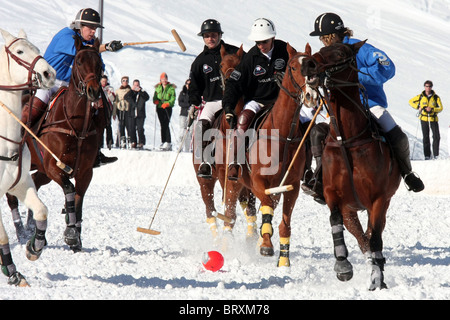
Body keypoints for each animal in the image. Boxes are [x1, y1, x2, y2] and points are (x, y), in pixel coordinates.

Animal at [7, 36, 106, 251]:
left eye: (99, 63)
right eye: (79, 62)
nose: (94, 91)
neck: (77, 126)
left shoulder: (86, 171)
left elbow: (78, 198)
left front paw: (75, 237)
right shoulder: (54, 166)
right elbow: (70, 189)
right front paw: (71, 234)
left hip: (41, 170)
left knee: (35, 183)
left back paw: (31, 226)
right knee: (11, 196)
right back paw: (21, 231)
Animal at [192, 44, 256, 240]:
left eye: (240, 63)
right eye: (221, 65)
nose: (229, 81)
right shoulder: (222, 173)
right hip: (204, 178)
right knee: (210, 209)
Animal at [234, 43, 318, 268]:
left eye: (314, 65)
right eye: (293, 68)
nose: (311, 96)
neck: (283, 135)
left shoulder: (291, 186)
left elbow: (284, 224)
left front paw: (284, 261)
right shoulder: (258, 181)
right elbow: (267, 209)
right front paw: (265, 245)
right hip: (236, 181)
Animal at [302, 42, 400, 290]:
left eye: (340, 53)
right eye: (320, 49)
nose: (307, 64)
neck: (347, 139)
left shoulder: (378, 199)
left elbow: (375, 238)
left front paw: (377, 279)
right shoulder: (333, 195)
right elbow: (335, 222)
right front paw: (343, 266)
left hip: (380, 204)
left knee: (372, 235)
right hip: (351, 209)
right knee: (360, 236)